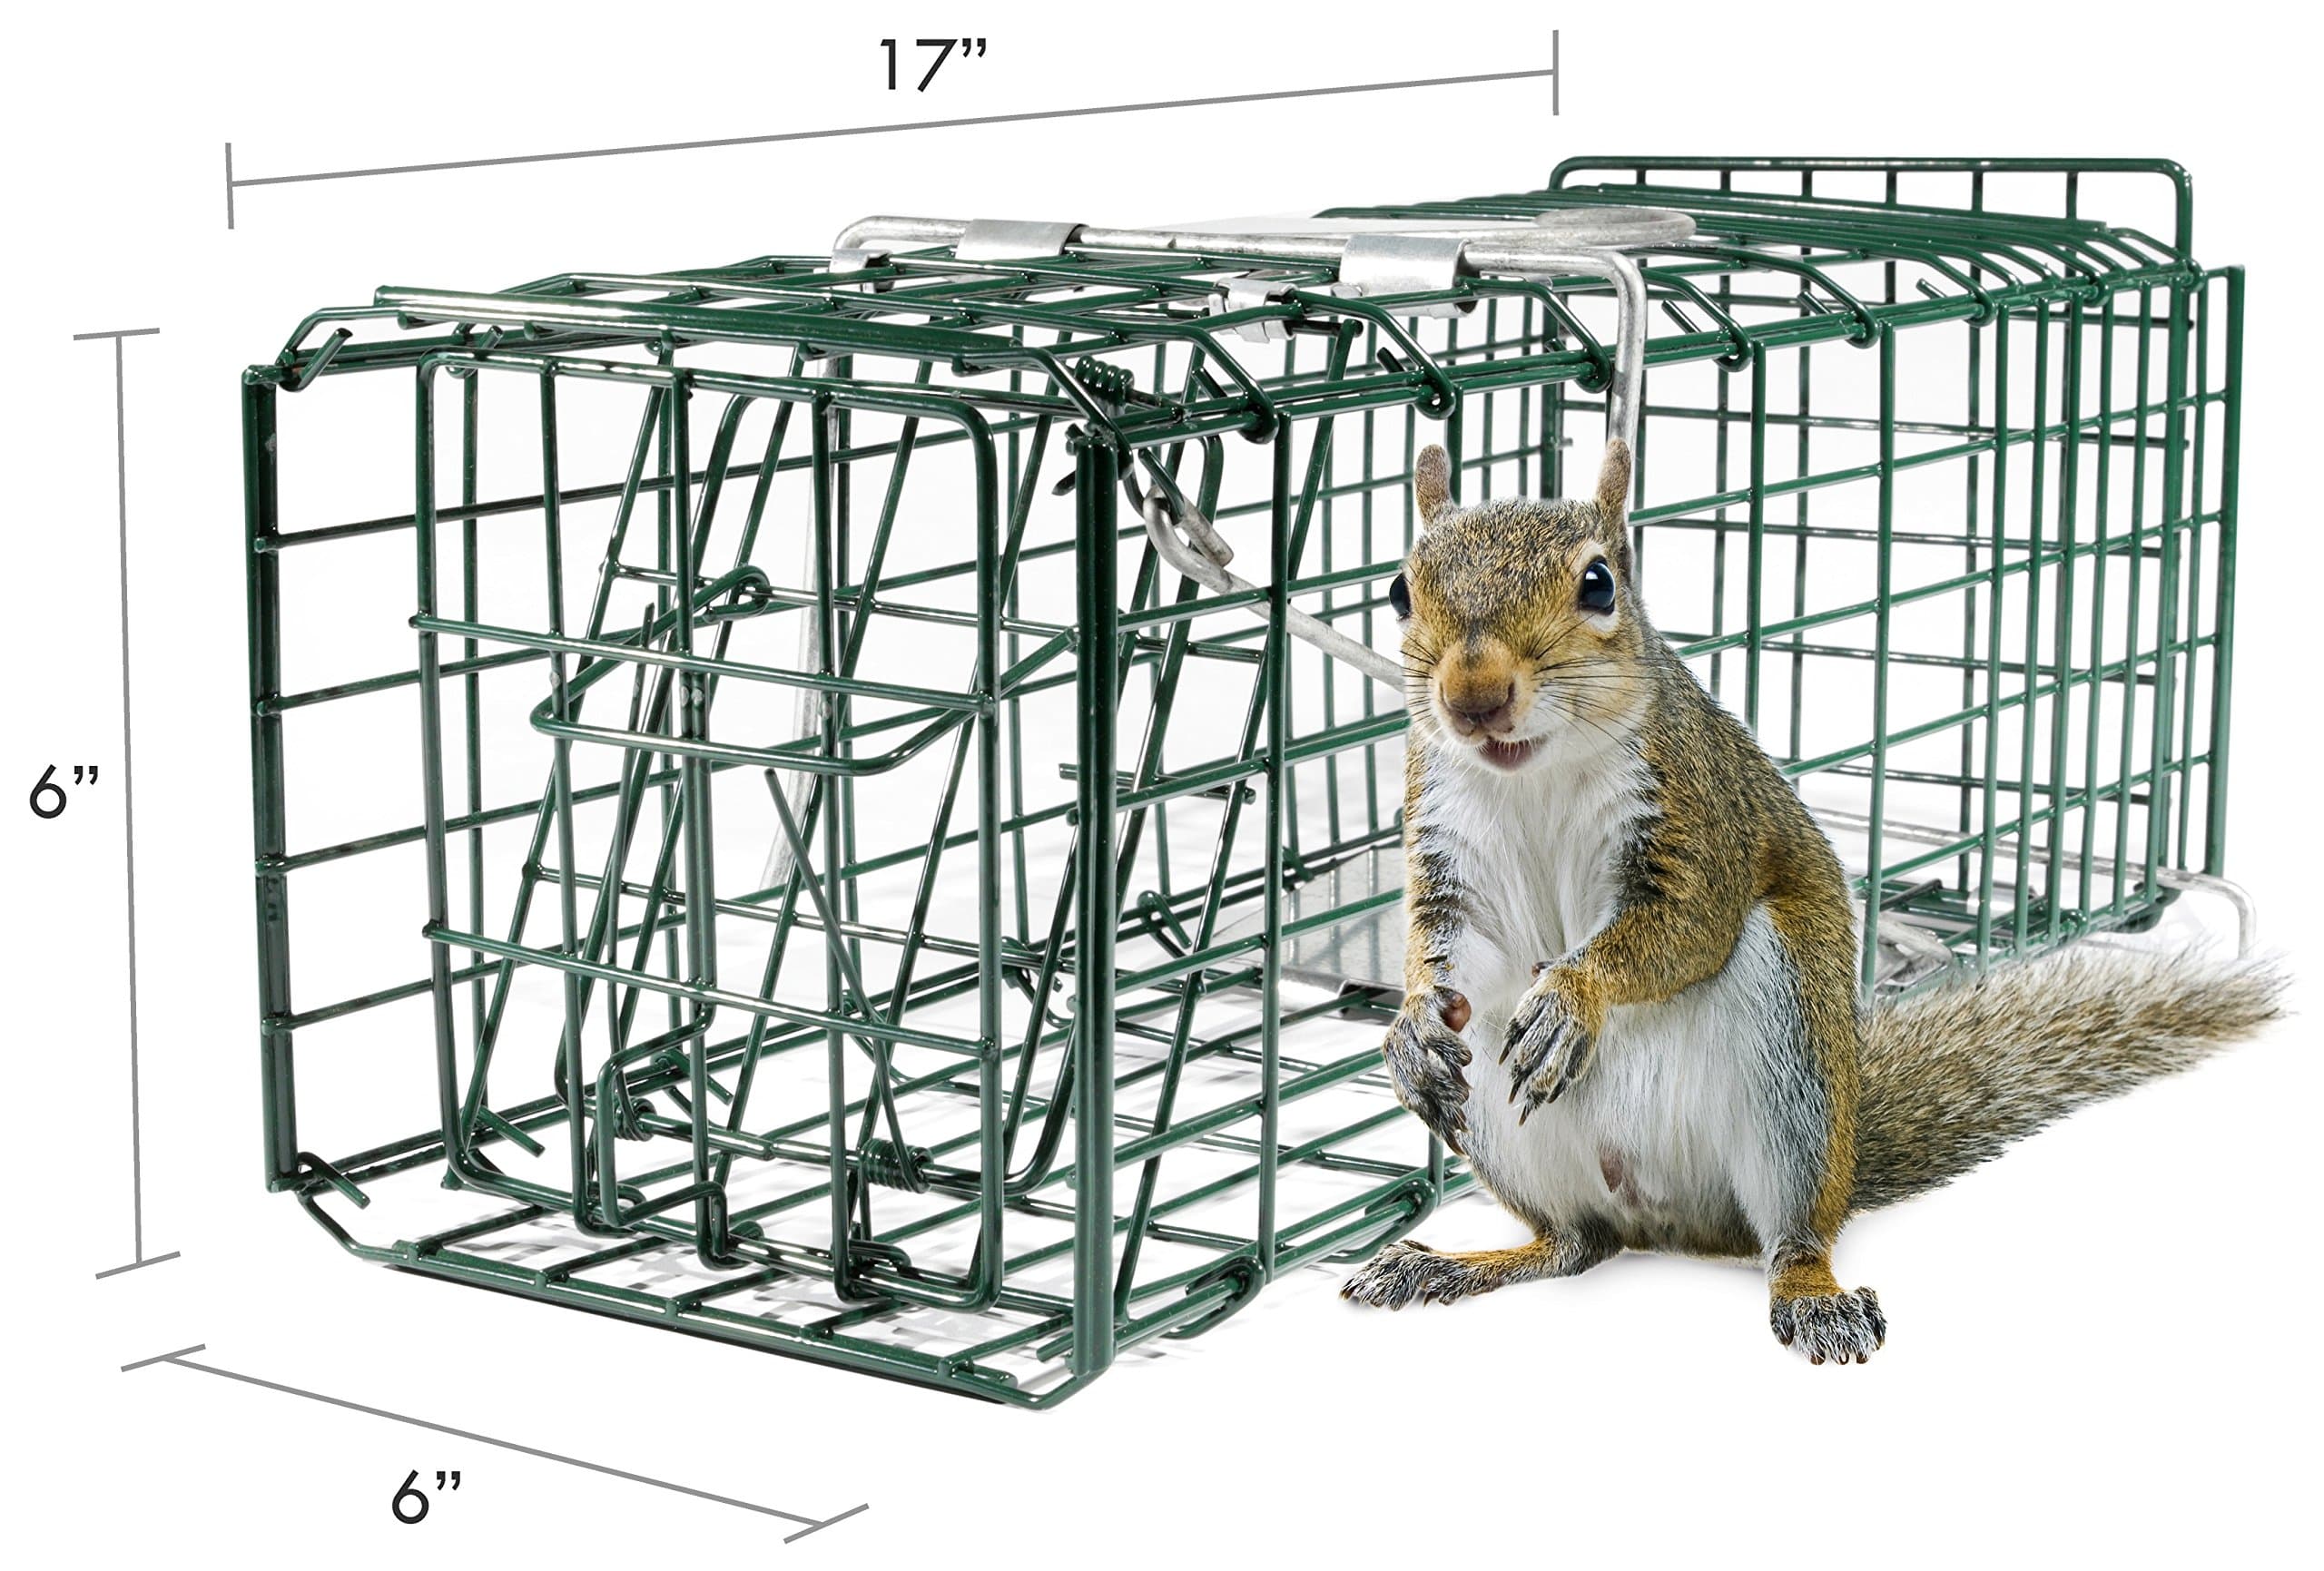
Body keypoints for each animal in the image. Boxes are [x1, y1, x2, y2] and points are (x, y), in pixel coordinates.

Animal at [1340, 439, 2283, 1364]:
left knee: (1790, 1235)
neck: (1531, 772)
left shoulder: (1696, 813)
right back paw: (1450, 1263)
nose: (1474, 697)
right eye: (1398, 590)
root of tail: (1668, 1221)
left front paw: (1575, 995)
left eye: (1599, 583)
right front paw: (1411, 1029)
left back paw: (1814, 1297)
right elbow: (1448, 947)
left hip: (1789, 1058)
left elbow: (1687, 926)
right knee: (1574, 1242)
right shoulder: (1448, 842)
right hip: (1502, 1118)